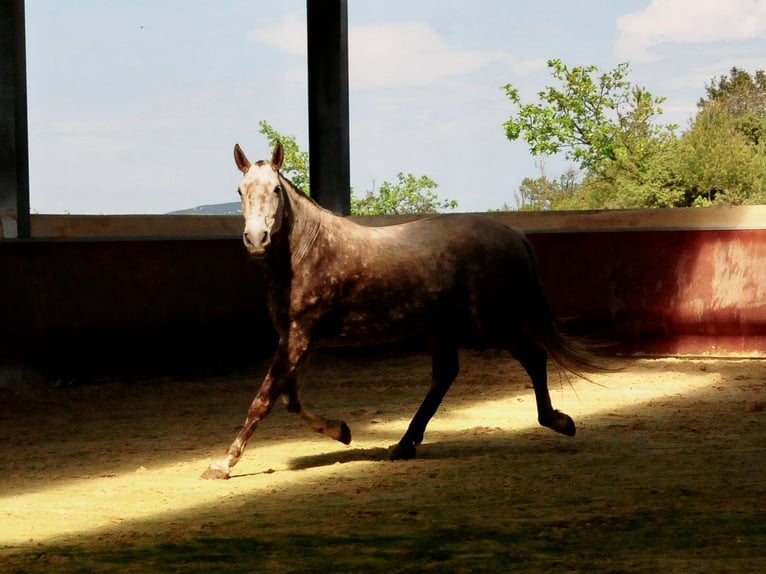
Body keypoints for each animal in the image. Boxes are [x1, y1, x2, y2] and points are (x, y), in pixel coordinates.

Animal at [200, 143, 608, 482]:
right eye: (240, 191)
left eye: (275, 190)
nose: (256, 240)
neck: (307, 253)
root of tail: (515, 235)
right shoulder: (296, 339)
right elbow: (288, 399)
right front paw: (342, 431)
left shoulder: (301, 337)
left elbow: (263, 400)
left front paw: (222, 464)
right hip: (444, 327)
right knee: (445, 376)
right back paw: (404, 444)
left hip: (493, 323)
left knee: (533, 356)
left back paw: (559, 421)